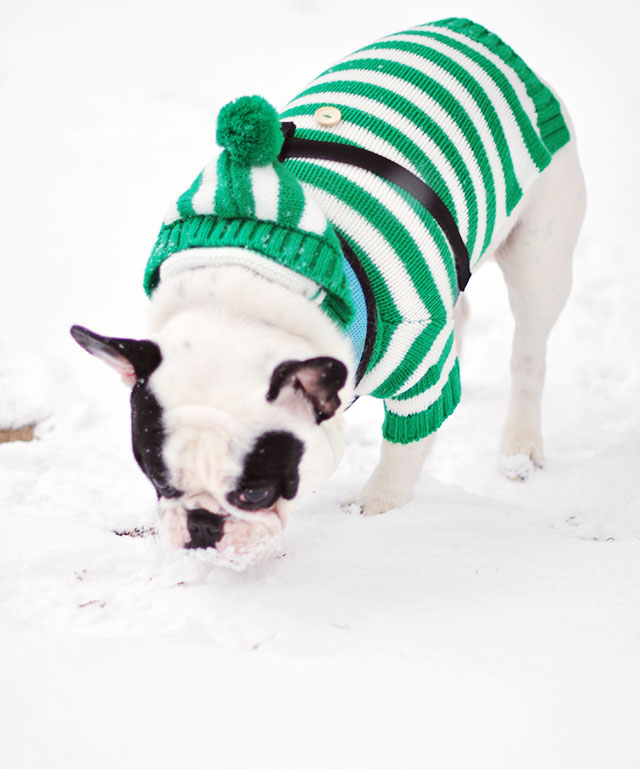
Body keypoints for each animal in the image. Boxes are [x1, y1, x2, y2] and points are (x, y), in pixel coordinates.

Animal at [70, 18, 584, 564]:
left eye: (255, 493)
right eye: (158, 481)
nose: (203, 525)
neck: (249, 293)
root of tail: (473, 32)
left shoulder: (417, 369)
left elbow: (403, 450)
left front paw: (377, 511)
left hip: (539, 255)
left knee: (528, 352)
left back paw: (519, 448)